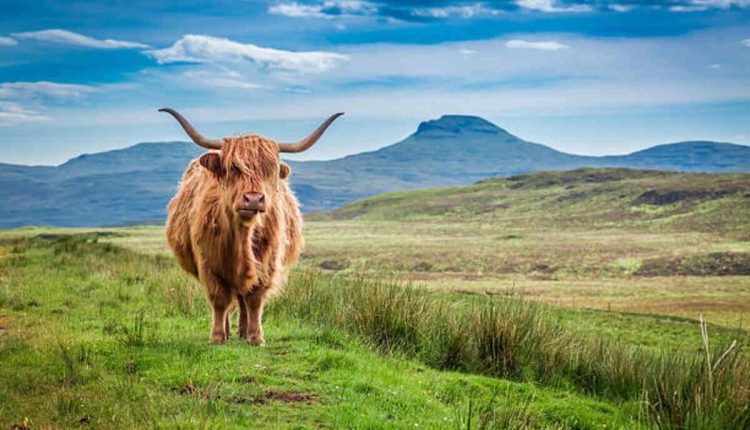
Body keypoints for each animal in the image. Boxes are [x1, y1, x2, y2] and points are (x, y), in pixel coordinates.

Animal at [160, 108, 343, 346]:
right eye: (233, 168)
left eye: (270, 170)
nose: (254, 199)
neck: (242, 236)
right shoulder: (208, 262)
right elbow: (219, 300)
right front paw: (217, 337)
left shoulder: (267, 262)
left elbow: (254, 299)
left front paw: (256, 337)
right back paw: (229, 331)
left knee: (242, 298)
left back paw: (243, 330)